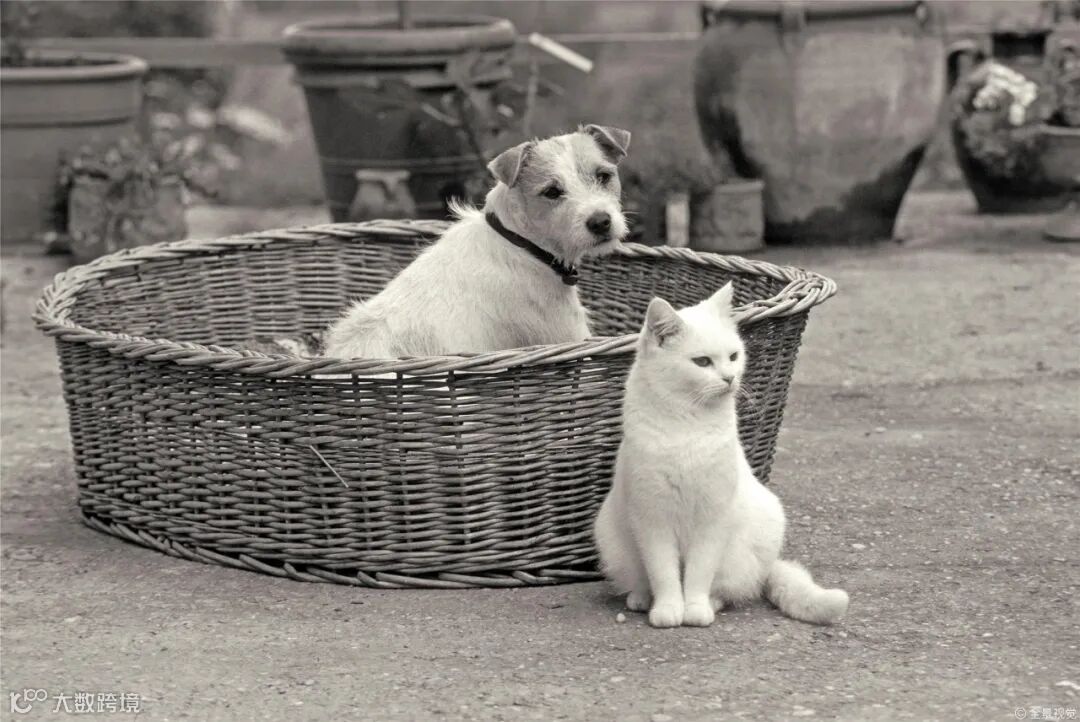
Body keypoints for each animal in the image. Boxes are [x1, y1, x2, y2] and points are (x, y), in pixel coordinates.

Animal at [593, 283, 850, 628]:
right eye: (702, 362)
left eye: (733, 356)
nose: (729, 378)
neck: (688, 426)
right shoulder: (652, 520)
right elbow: (664, 574)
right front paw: (668, 610)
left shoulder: (713, 518)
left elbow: (699, 574)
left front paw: (694, 610)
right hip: (613, 541)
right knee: (642, 581)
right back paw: (641, 600)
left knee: (730, 590)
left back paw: (709, 604)